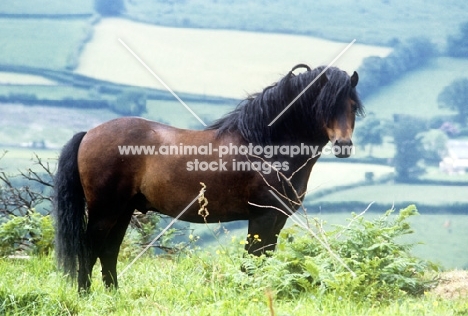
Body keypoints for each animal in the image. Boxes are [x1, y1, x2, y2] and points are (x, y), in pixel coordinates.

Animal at [54, 65, 362, 292]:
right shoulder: (262, 216)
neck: (266, 145)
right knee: (89, 249)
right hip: (105, 212)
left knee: (108, 252)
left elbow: (265, 256)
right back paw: (85, 295)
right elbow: (253, 258)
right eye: (324, 106)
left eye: (352, 106)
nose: (344, 145)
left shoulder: (278, 218)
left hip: (123, 211)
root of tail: (89, 134)